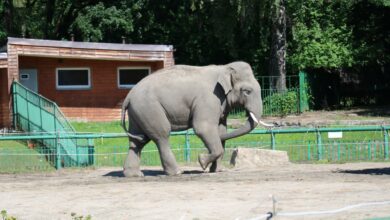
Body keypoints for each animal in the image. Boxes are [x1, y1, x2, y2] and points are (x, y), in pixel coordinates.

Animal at [121, 61, 272, 177]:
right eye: (247, 91)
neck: (224, 68)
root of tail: (129, 96)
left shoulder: (220, 103)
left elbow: (221, 130)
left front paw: (217, 170)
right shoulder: (209, 98)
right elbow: (203, 128)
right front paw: (202, 161)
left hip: (139, 112)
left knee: (138, 140)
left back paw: (134, 175)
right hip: (150, 108)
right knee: (161, 136)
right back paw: (177, 172)